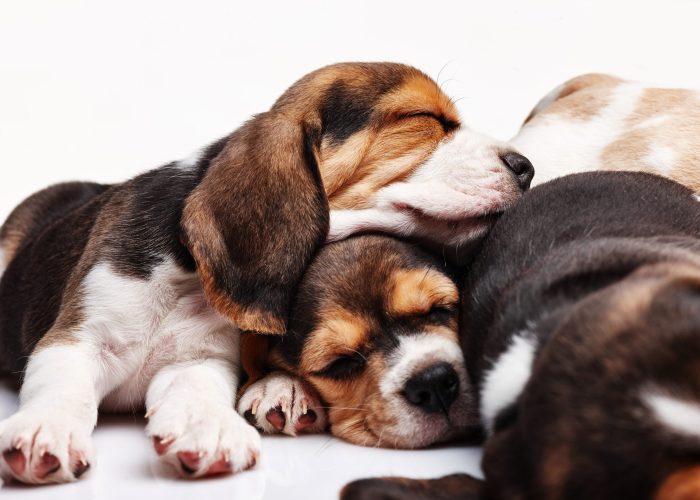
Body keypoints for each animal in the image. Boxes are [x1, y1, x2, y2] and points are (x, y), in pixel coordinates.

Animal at [0, 62, 532, 484]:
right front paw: (45, 431)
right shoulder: (79, 337)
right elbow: (62, 385)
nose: (526, 167)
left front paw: (207, 427)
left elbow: (197, 388)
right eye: (423, 120)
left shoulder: (197, 357)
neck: (185, 279)